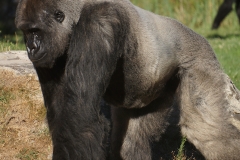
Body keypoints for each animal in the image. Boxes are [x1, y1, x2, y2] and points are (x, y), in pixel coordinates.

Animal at [14, 0, 240, 160]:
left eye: (35, 31)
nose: (31, 48)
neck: (77, 14)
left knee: (207, 131)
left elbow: (79, 115)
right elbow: (61, 114)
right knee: (131, 143)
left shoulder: (99, 24)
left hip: (200, 60)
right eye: (25, 32)